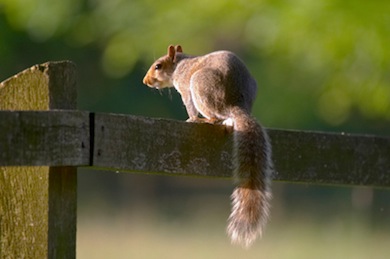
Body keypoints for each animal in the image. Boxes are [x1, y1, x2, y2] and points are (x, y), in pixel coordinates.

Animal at [142, 45, 272, 249]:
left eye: (158, 66)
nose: (145, 81)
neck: (180, 64)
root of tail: (235, 103)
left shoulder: (185, 87)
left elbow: (189, 106)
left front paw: (191, 118)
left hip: (201, 86)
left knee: (215, 117)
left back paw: (205, 119)